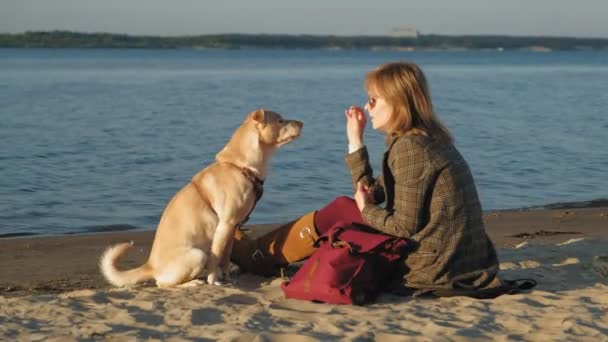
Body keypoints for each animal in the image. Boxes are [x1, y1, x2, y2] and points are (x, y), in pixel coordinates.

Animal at [101, 109, 304, 286]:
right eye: (280, 121)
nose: (302, 122)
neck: (240, 167)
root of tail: (150, 266)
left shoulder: (233, 227)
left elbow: (225, 257)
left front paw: (227, 278)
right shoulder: (224, 225)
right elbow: (216, 257)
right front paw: (214, 281)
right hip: (198, 255)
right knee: (163, 284)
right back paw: (192, 283)